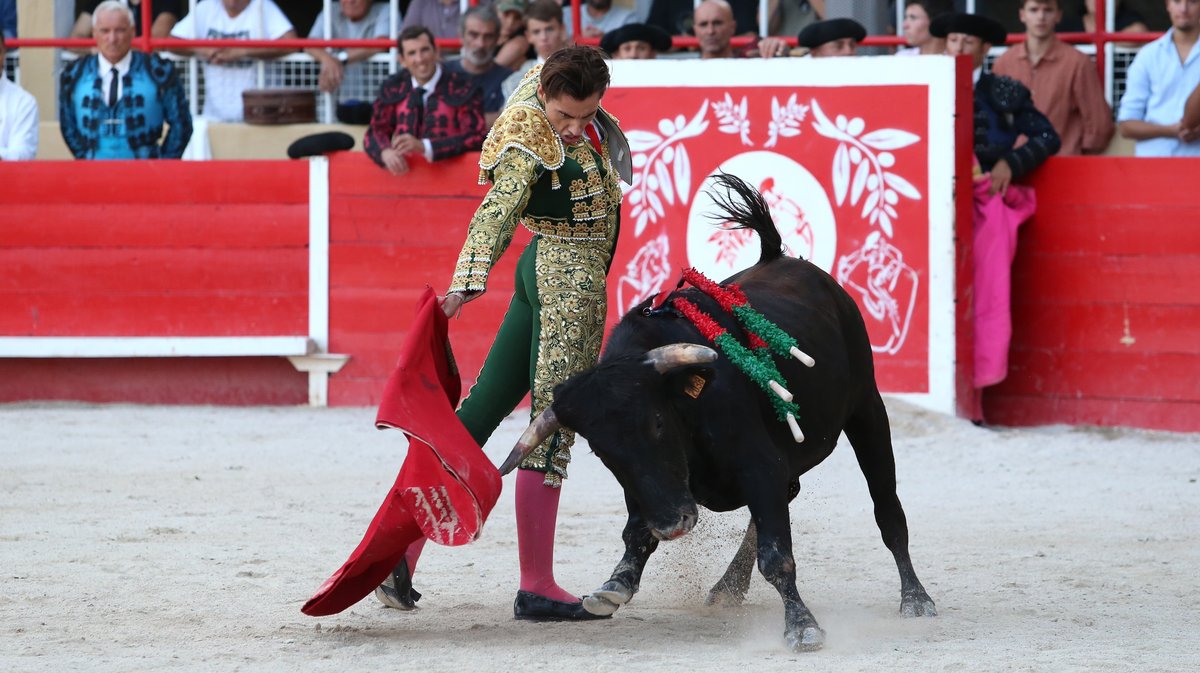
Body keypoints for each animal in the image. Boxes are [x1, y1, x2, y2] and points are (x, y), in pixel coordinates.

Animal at [496, 172, 936, 652]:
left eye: (656, 422)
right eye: (603, 453)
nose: (673, 526)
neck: (687, 412)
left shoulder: (760, 465)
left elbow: (777, 555)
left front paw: (802, 626)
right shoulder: (655, 487)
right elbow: (638, 532)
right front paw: (615, 585)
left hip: (867, 408)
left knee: (887, 508)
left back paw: (916, 598)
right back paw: (727, 588)